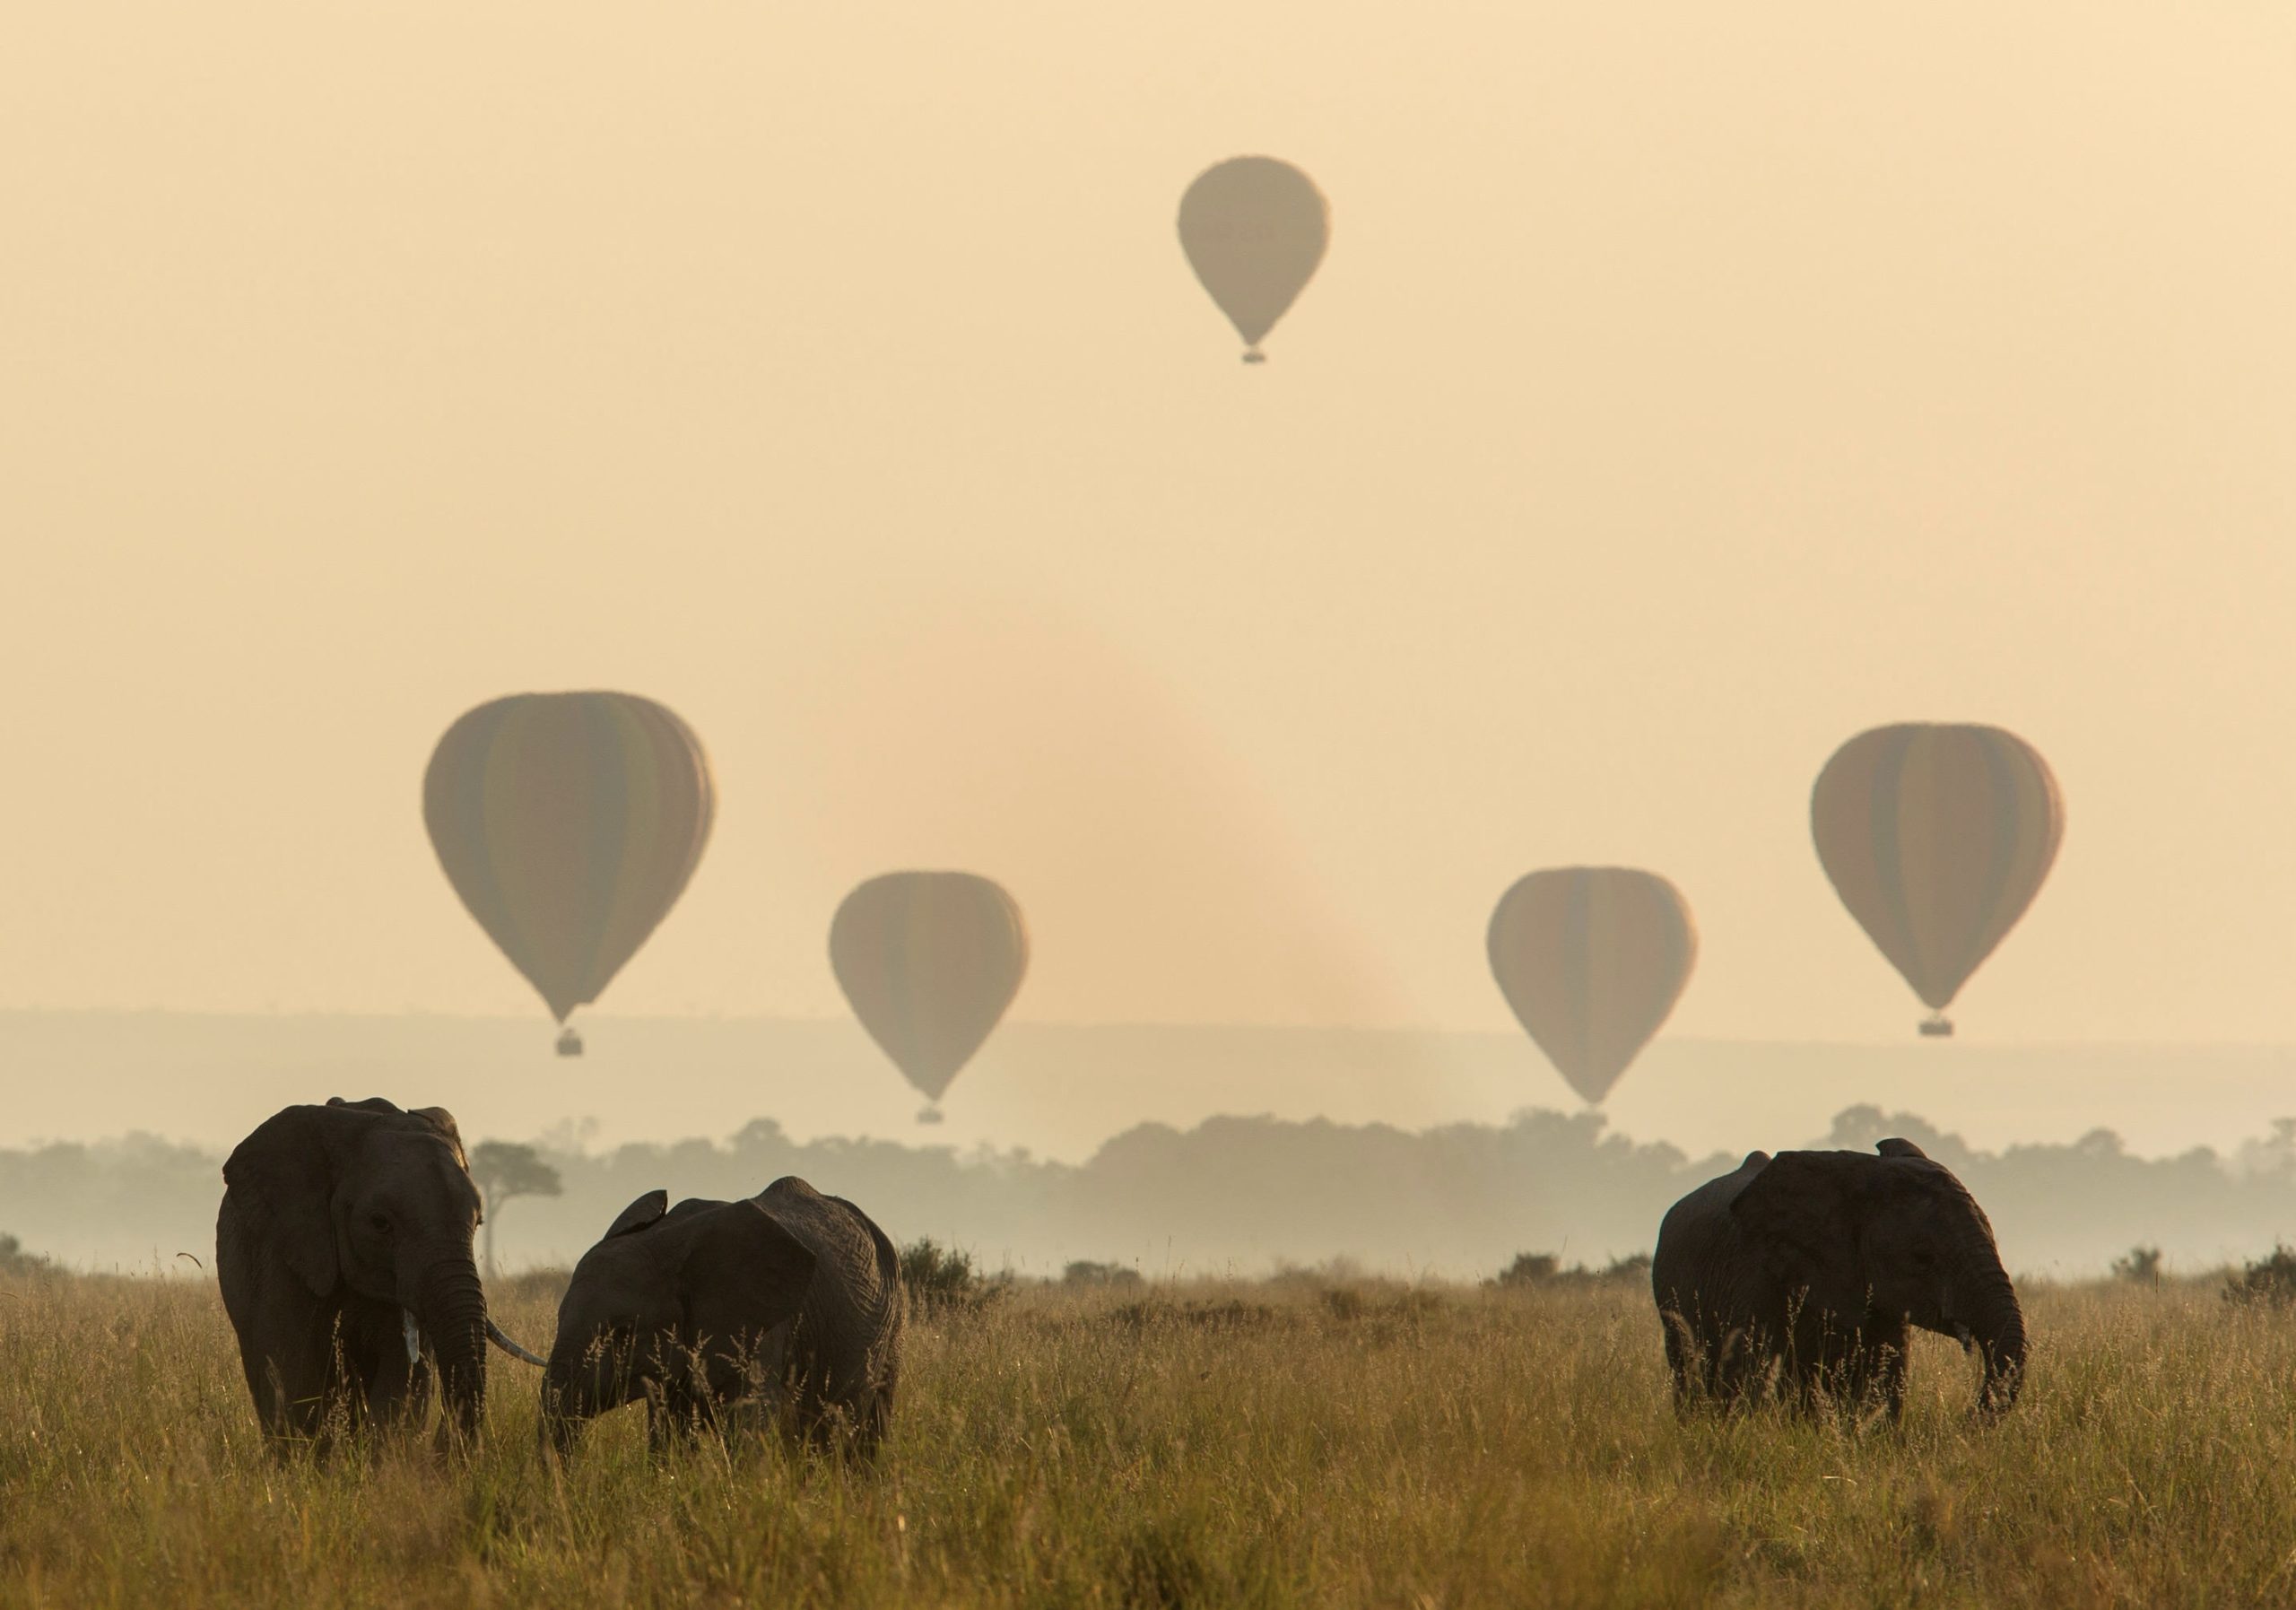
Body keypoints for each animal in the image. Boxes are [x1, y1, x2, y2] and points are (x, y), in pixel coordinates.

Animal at [546, 1166, 904, 1460]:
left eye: (623, 1332)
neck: (666, 1242)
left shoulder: (760, 1325)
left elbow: (750, 1426)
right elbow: (669, 1437)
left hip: (893, 1321)